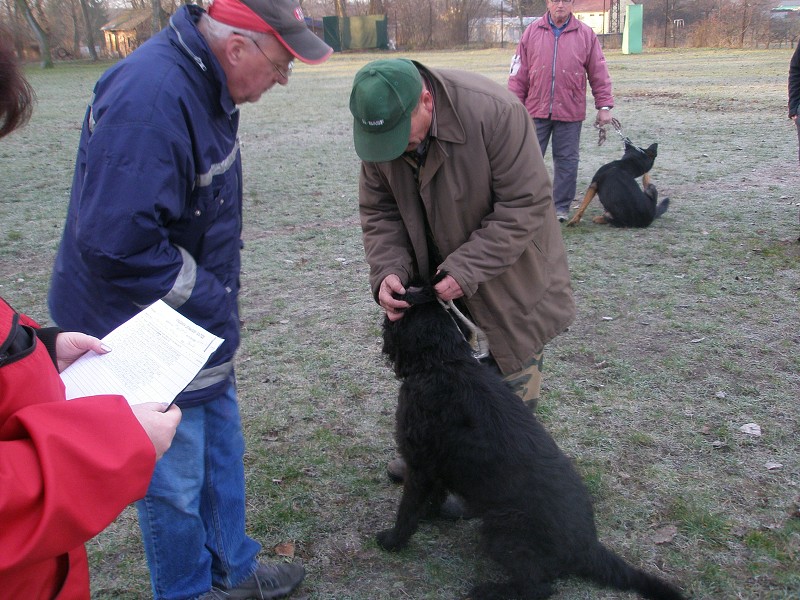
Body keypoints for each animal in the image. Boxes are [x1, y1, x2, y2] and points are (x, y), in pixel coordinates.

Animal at [378, 276, 684, 600]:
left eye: (402, 305)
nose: (398, 285)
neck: (443, 362)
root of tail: (588, 547)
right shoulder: (436, 465)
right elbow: (432, 497)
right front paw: (431, 516)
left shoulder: (420, 465)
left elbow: (408, 508)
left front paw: (393, 541)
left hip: (502, 530)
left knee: (538, 586)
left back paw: (488, 590)